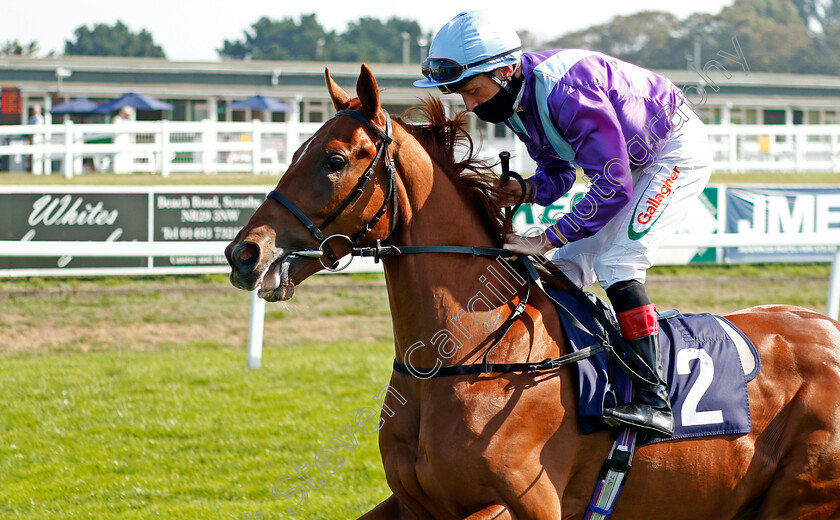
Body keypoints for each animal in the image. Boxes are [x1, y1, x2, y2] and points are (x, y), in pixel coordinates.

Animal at [226, 66, 840, 520]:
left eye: (332, 161)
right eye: (293, 152)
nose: (244, 254)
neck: (468, 355)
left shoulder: (528, 502)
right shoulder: (415, 503)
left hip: (801, 498)